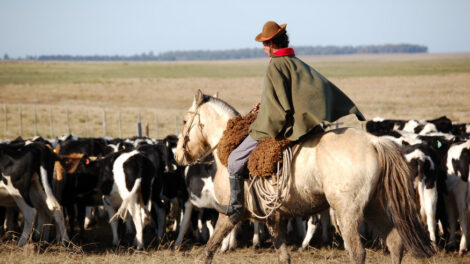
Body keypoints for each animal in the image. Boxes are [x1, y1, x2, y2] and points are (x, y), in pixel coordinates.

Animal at [174, 89, 436, 262]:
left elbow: (209, 249)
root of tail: (374, 143)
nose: (177, 156)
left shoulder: (230, 214)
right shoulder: (274, 217)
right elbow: (283, 257)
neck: (228, 149)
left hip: (347, 211)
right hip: (375, 207)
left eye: (185, 120)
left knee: (357, 252)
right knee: (395, 244)